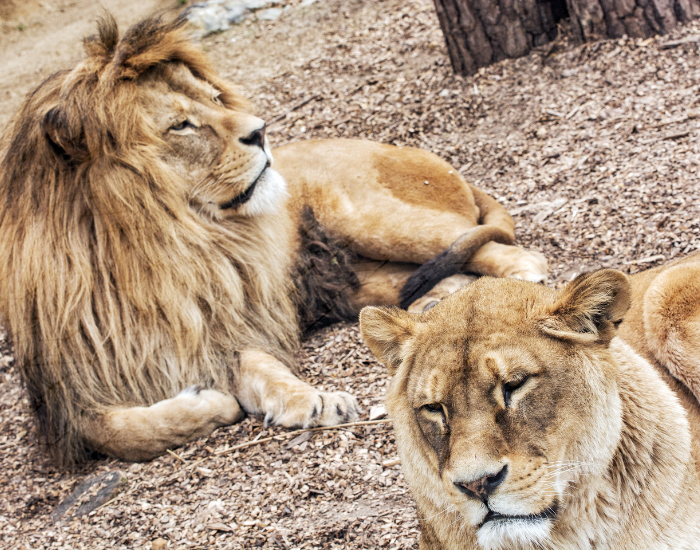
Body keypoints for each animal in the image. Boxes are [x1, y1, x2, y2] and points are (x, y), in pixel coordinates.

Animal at [0, 14, 546, 465]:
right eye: (181, 124)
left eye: (215, 98)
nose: (260, 132)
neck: (154, 254)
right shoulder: (69, 395)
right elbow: (117, 432)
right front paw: (218, 401)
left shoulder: (228, 326)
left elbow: (261, 368)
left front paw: (310, 399)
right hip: (355, 278)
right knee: (424, 281)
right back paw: (432, 308)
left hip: (370, 216)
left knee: (504, 247)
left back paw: (519, 285)